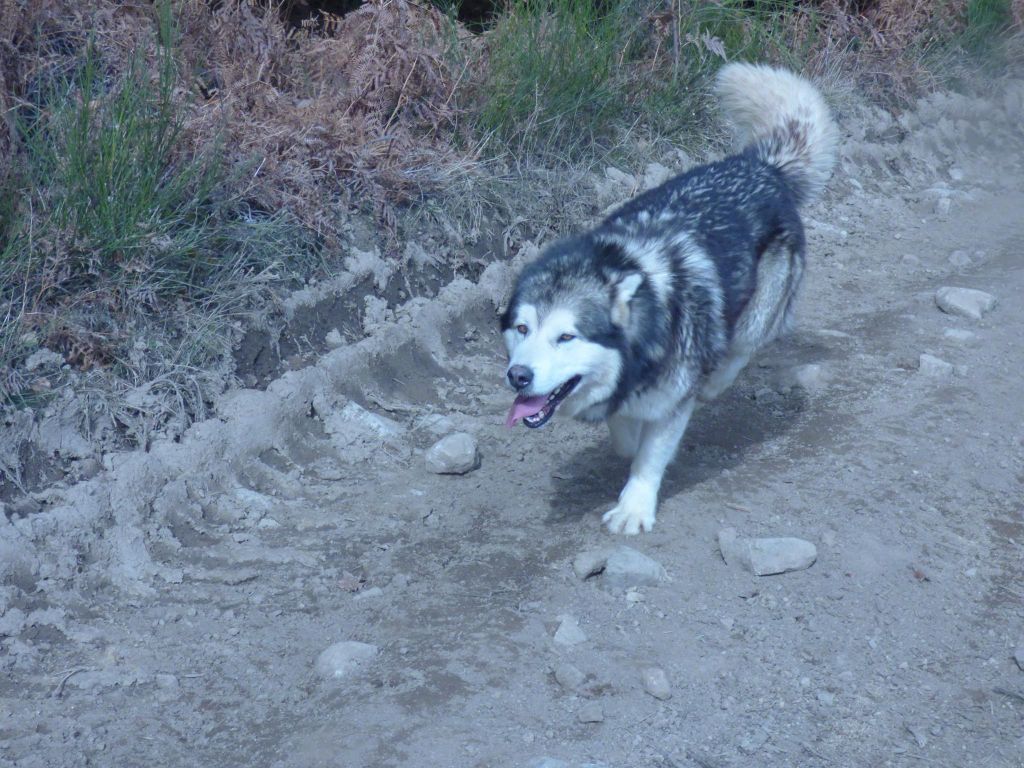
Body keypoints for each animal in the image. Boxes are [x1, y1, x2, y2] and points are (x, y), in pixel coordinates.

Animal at [497, 63, 839, 536]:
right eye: (522, 328)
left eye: (566, 337)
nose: (518, 376)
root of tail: (760, 164)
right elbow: (624, 433)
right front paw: (625, 436)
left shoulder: (671, 402)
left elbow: (648, 457)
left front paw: (633, 509)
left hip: (756, 314)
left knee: (741, 349)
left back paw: (714, 380)